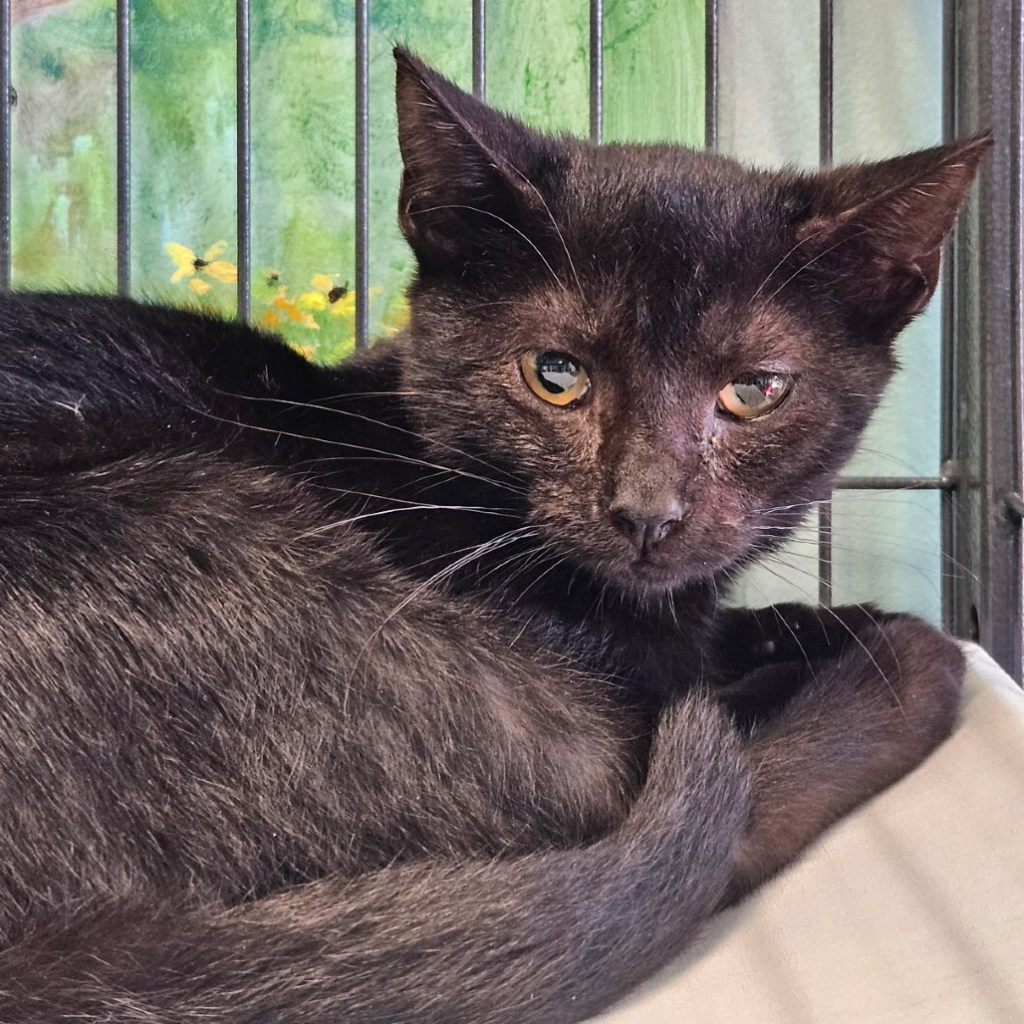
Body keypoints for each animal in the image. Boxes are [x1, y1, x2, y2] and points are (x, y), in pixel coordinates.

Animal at [0, 48, 987, 1023]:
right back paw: (897, 667)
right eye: (556, 374)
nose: (647, 510)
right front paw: (842, 643)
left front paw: (817, 620)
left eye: (753, 391)